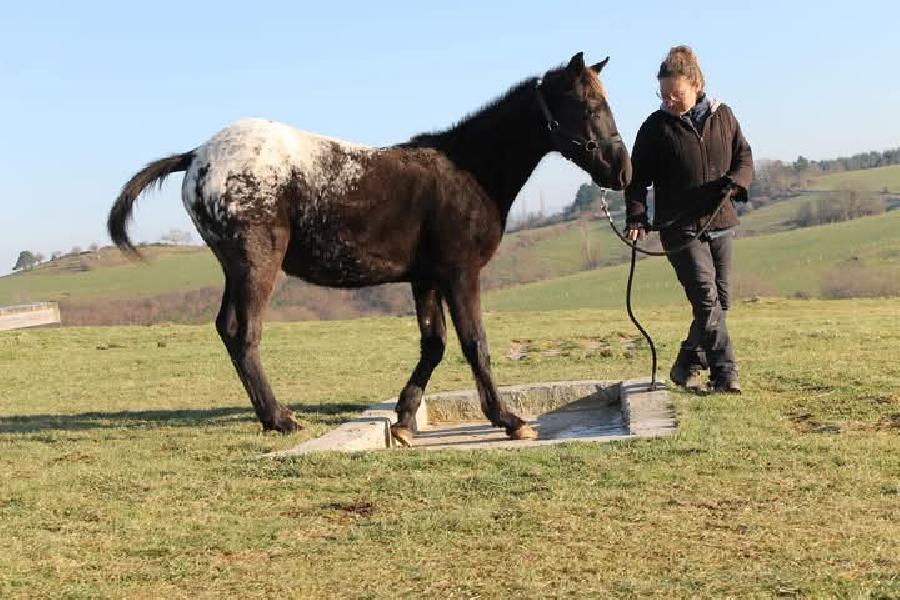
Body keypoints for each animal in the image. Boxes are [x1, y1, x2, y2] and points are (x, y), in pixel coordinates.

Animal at [109, 51, 628, 446]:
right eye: (586, 103)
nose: (621, 170)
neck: (468, 172)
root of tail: (198, 156)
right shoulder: (460, 274)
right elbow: (474, 344)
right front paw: (510, 421)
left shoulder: (425, 278)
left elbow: (434, 345)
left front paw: (403, 420)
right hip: (256, 263)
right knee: (242, 332)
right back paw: (280, 418)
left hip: (235, 268)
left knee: (227, 328)